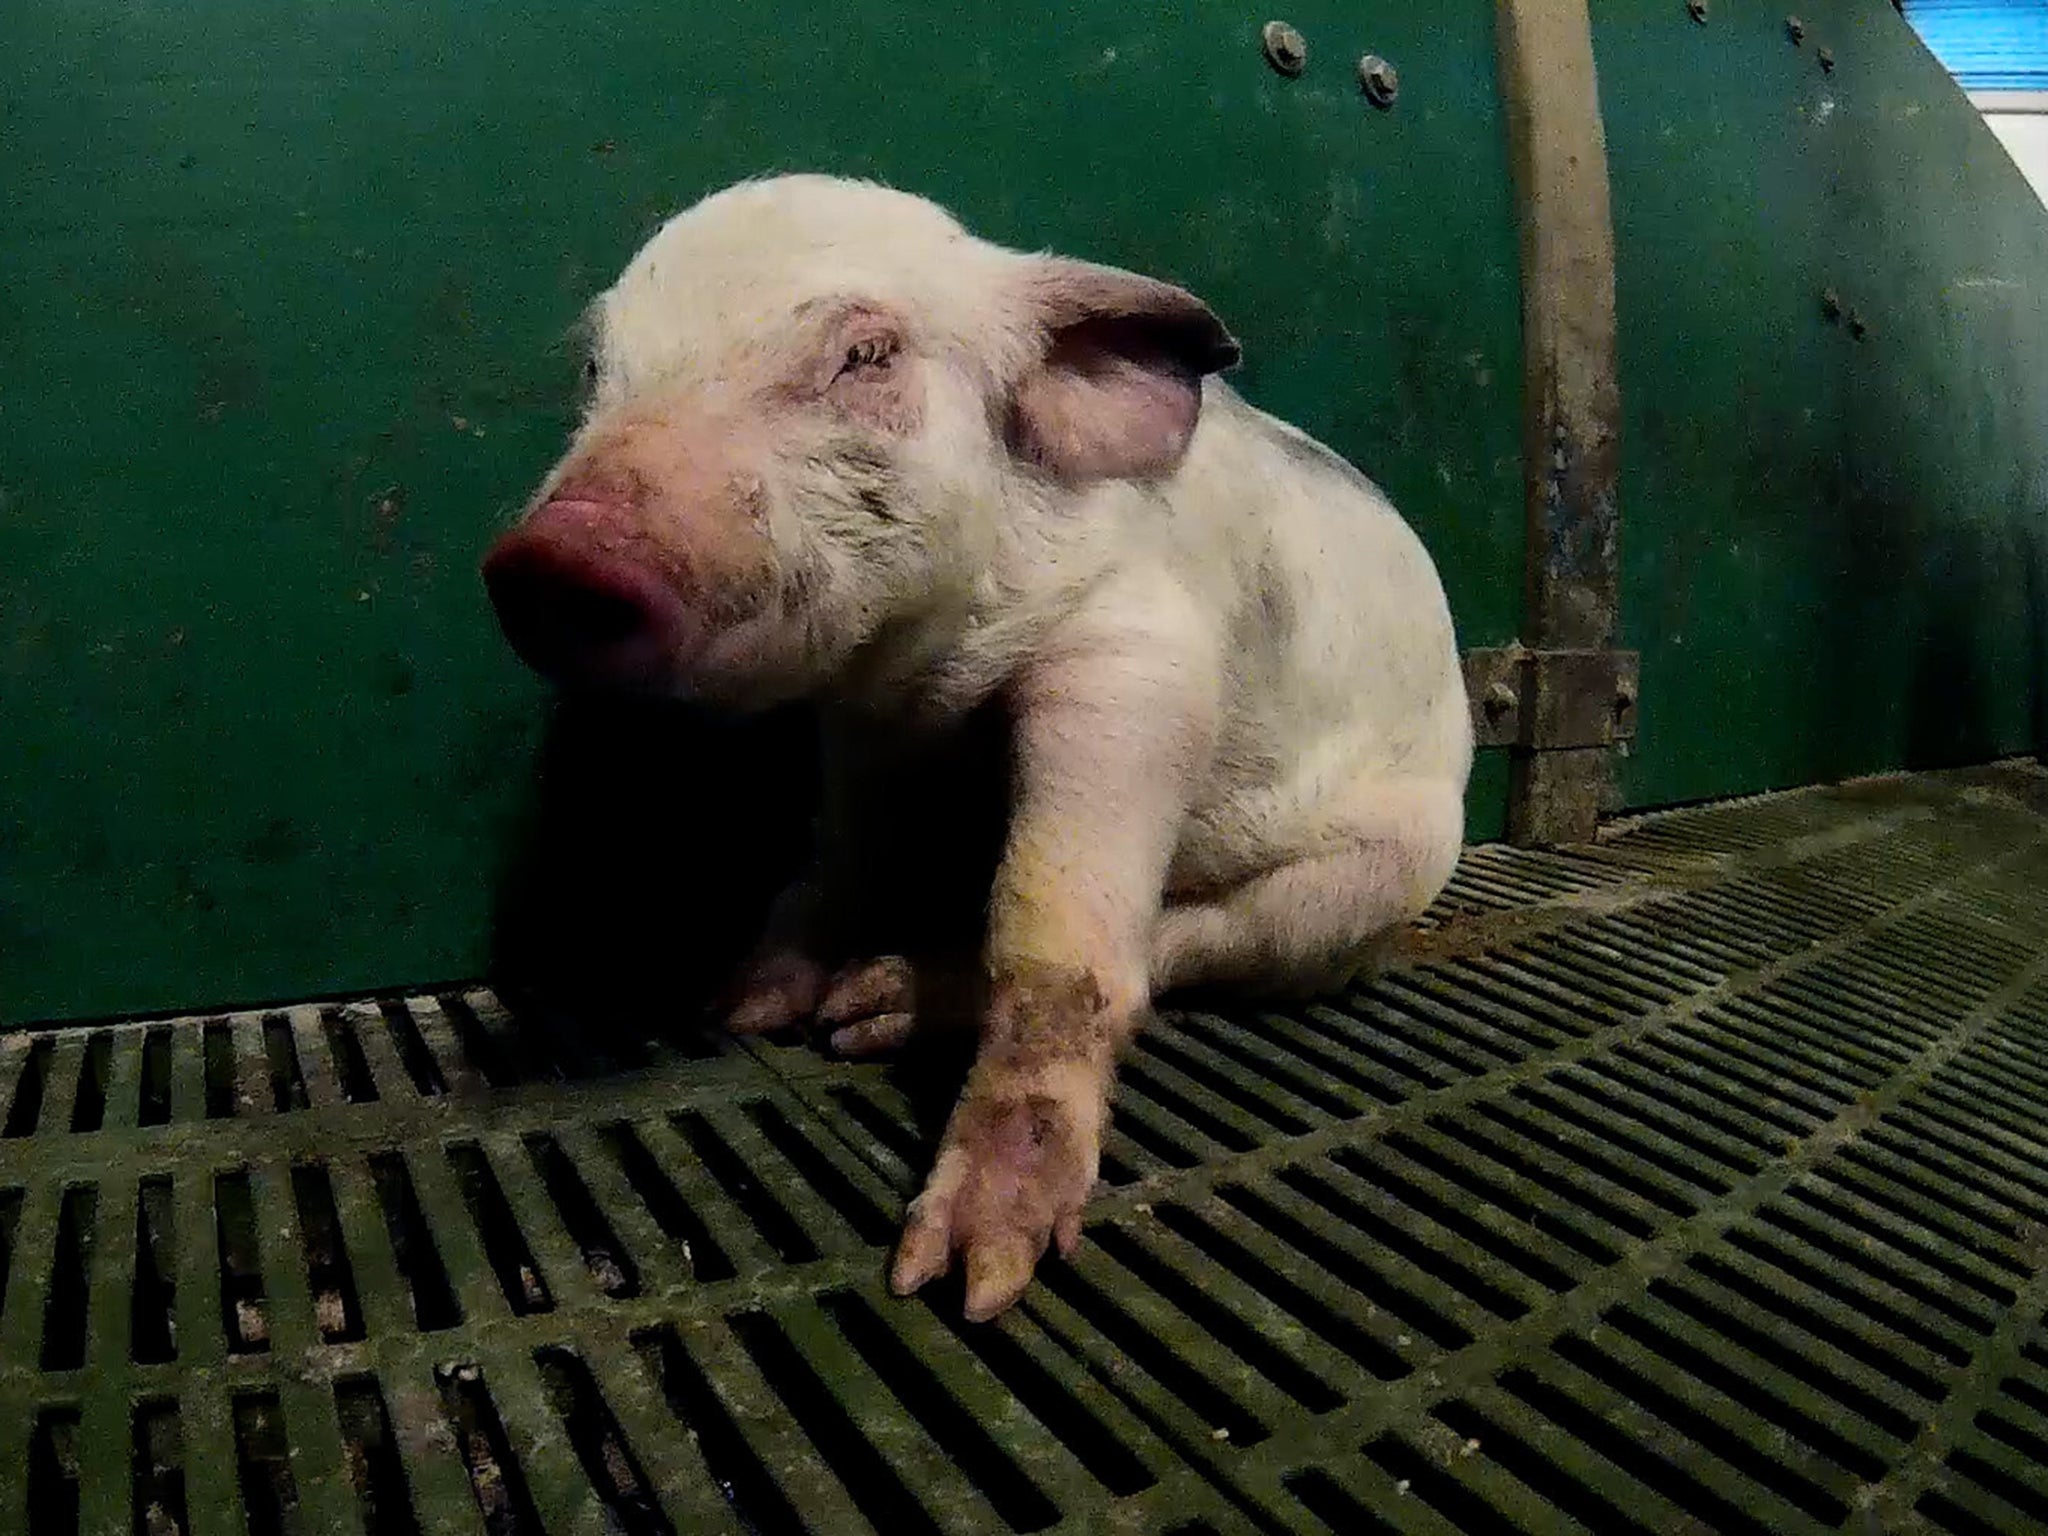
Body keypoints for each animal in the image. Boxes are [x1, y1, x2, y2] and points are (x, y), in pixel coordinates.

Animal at [482, 174, 1473, 1321]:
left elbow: (1057, 934)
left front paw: (966, 1276)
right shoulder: (864, 725)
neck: (934, 678)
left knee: (1192, 938)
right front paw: (744, 1005)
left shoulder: (1135, 658)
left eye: (866, 354)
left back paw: (873, 1013)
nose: (555, 553)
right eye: (599, 365)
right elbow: (839, 857)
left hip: (1375, 876)